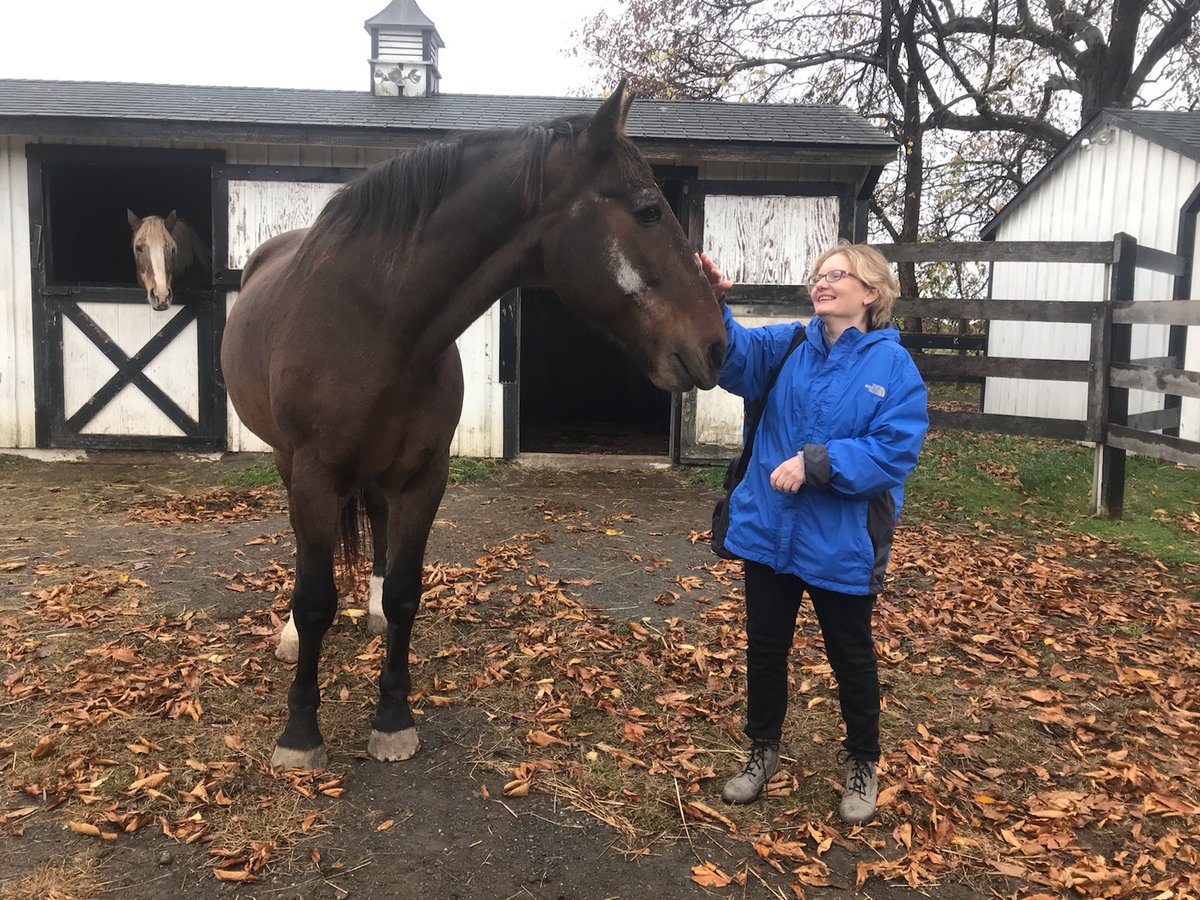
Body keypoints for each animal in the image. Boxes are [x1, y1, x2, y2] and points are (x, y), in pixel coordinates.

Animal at [220, 82, 726, 770]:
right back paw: (294, 635)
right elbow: (316, 595)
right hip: (286, 460)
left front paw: (393, 718)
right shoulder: (316, 473)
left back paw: (368, 609)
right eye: (649, 210)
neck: (375, 322)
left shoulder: (424, 474)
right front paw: (300, 732)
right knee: (306, 556)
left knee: (374, 524)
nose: (717, 345)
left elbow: (406, 592)